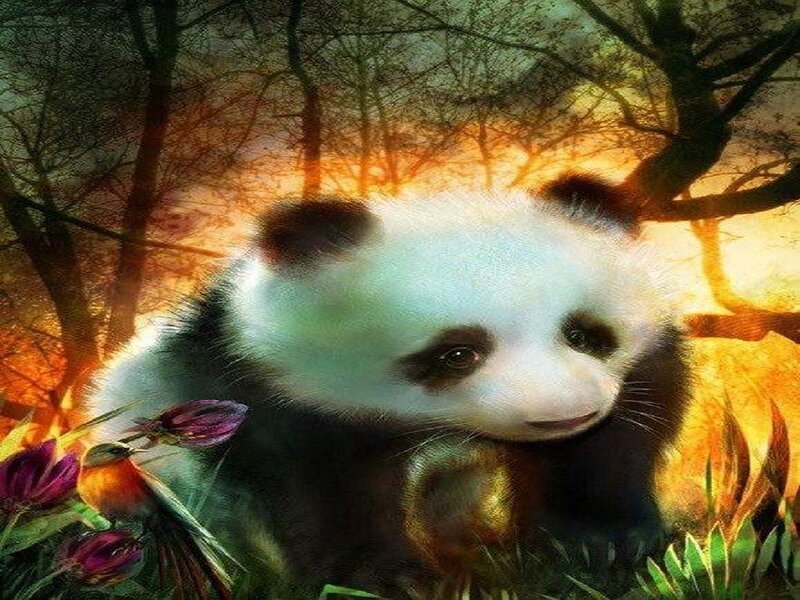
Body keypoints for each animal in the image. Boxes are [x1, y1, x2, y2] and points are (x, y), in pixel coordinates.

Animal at [88, 175, 690, 596]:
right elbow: (321, 488)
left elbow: (611, 442)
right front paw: (386, 579)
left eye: (584, 333)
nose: (565, 411)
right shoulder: (272, 390)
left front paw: (603, 543)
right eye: (456, 353)